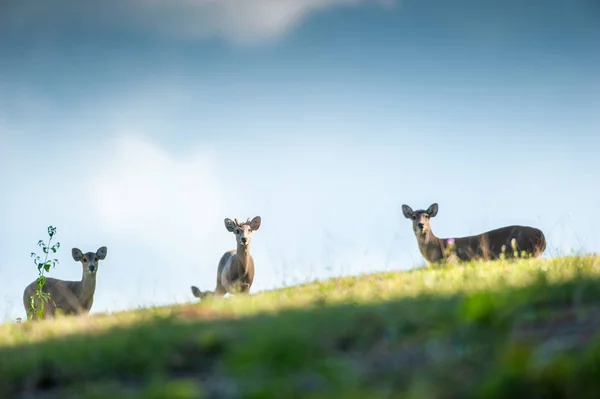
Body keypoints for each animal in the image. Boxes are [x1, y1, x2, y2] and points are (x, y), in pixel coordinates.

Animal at [400, 203, 548, 266]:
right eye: (413, 216)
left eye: (427, 216)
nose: (421, 225)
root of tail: (541, 235)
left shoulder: (451, 261)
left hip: (524, 252)